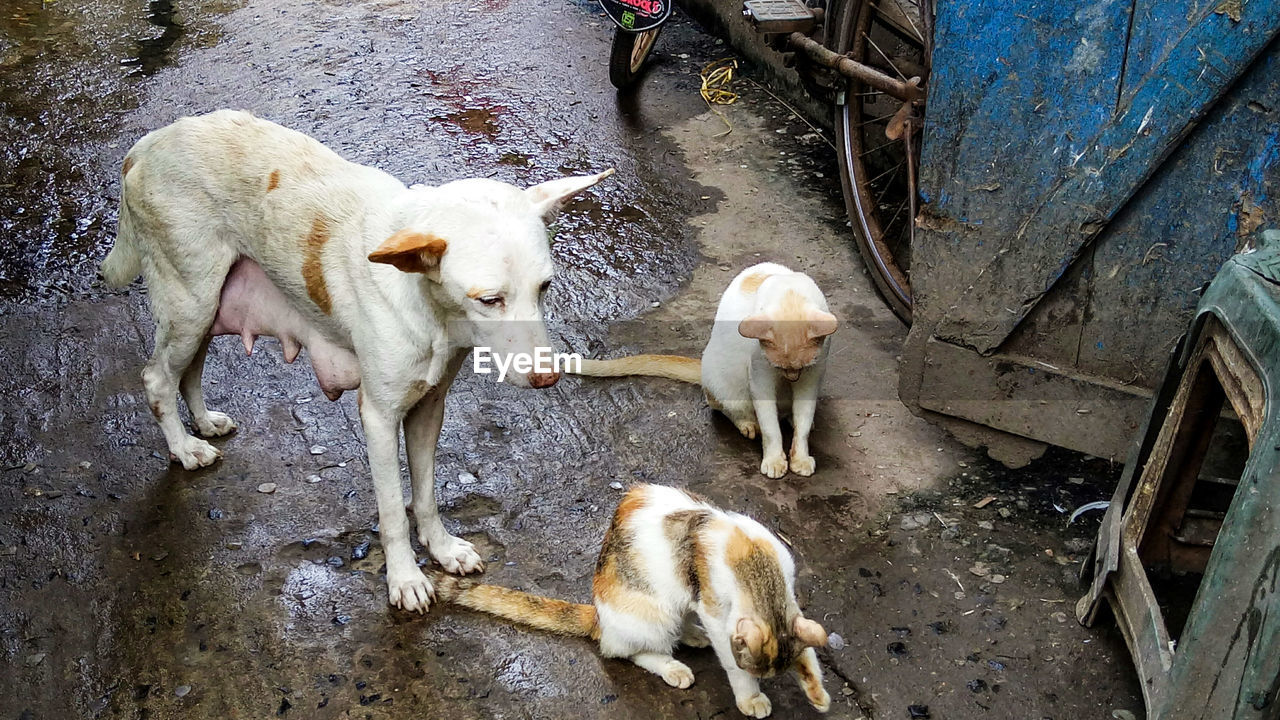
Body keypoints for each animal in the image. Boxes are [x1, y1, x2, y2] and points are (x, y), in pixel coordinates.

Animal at [102, 109, 611, 607]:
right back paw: (184, 448)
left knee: (188, 370)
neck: (429, 308)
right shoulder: (379, 416)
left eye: (544, 287)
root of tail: (146, 146)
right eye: (489, 300)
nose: (548, 378)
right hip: (190, 302)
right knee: (157, 378)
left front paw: (442, 548)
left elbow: (426, 494)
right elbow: (393, 511)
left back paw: (204, 423)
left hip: (204, 308)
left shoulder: (429, 407)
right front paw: (405, 578)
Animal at [432, 479, 829, 712]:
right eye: (751, 671)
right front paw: (751, 697)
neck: (754, 561)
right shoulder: (717, 613)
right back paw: (671, 666)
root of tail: (598, 614)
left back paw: (691, 634)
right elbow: (731, 661)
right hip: (651, 615)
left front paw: (816, 690)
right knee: (622, 650)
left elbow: (807, 646)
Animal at [573, 262, 834, 476]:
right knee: (728, 408)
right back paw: (749, 424)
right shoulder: (761, 378)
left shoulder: (813, 376)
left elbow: (803, 421)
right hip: (726, 383)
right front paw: (773, 460)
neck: (790, 295)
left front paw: (800, 457)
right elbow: (771, 428)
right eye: (778, 366)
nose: (792, 377)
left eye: (803, 367)